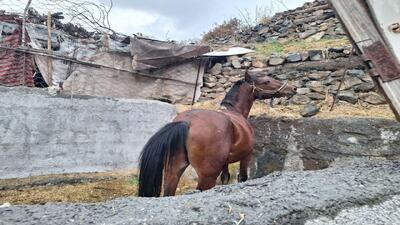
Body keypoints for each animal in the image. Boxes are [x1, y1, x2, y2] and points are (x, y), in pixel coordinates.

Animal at [138, 72, 296, 197]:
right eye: (266, 81)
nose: (292, 89)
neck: (234, 112)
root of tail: (187, 122)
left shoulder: (225, 163)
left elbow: (225, 178)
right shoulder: (246, 156)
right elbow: (242, 177)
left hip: (173, 172)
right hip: (207, 176)